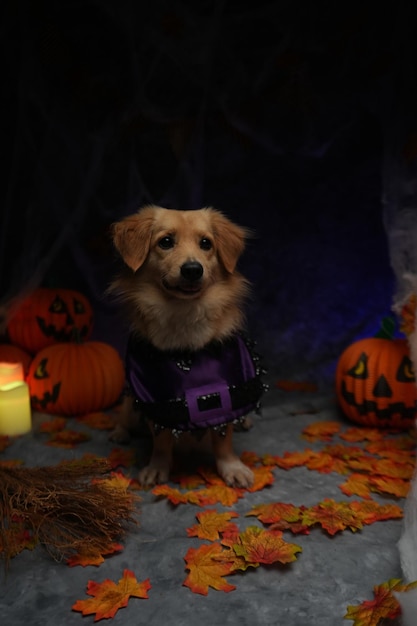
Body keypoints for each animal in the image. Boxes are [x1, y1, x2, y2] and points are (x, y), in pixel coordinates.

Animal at [108, 205, 256, 488]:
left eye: (206, 243)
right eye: (166, 242)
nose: (192, 269)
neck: (184, 314)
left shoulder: (230, 389)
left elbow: (223, 437)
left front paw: (231, 467)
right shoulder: (158, 398)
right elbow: (162, 439)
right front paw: (158, 466)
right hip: (132, 404)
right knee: (125, 416)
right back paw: (120, 433)